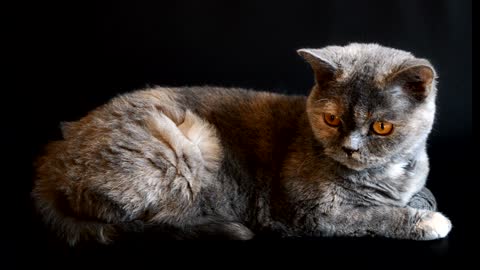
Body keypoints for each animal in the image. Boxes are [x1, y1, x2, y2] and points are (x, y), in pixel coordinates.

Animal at [31, 41, 452, 245]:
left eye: (381, 127)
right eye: (332, 119)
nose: (350, 147)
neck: (387, 174)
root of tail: (53, 158)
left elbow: (421, 193)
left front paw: (422, 200)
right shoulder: (315, 213)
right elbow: (376, 215)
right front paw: (429, 220)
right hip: (187, 146)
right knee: (147, 219)